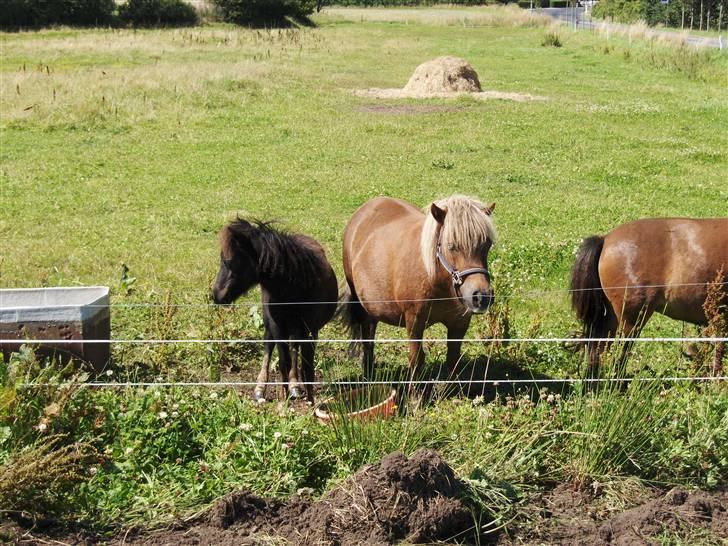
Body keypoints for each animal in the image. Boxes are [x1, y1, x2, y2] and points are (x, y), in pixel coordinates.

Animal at [209, 217, 336, 400]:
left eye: (230, 261)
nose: (217, 295)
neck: (293, 287)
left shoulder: (311, 330)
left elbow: (306, 367)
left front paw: (307, 398)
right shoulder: (277, 326)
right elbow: (283, 362)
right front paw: (283, 398)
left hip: (296, 329)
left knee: (294, 348)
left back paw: (294, 385)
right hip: (271, 324)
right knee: (269, 347)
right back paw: (261, 388)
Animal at [340, 194, 498, 378]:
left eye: (487, 244)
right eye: (451, 246)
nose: (481, 297)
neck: (437, 282)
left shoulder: (459, 323)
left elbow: (453, 360)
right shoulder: (414, 322)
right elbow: (416, 360)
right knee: (366, 336)